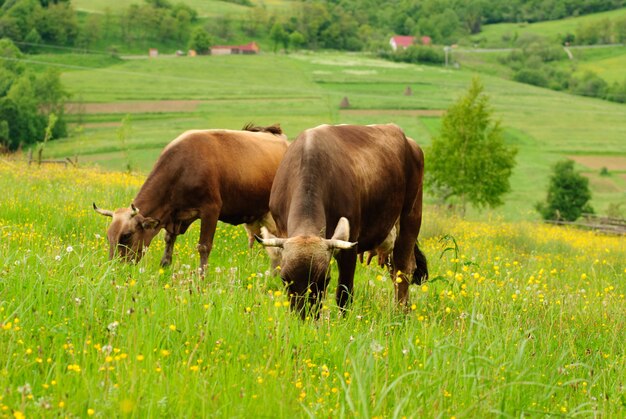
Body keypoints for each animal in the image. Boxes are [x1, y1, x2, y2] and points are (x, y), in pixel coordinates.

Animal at [92, 123, 288, 270]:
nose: (114, 268)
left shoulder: (211, 209)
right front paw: (164, 267)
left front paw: (201, 279)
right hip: (256, 216)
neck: (182, 167)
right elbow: (169, 242)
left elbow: (204, 246)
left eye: (126, 235)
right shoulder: (174, 215)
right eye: (108, 236)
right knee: (256, 240)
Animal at [256, 124, 426, 318]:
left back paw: (401, 313)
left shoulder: (350, 245)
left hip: (410, 218)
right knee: (395, 272)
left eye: (325, 279)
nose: (305, 317)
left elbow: (344, 294)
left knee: (403, 270)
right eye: (285, 279)